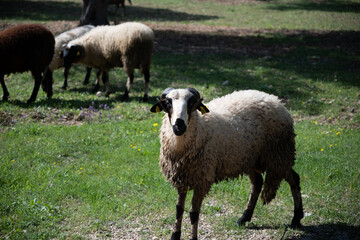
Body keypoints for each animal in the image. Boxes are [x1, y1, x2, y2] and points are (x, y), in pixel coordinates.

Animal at [150, 87, 306, 240]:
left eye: (191, 103)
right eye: (168, 103)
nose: (179, 125)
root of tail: (275, 99)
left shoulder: (202, 179)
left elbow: (194, 213)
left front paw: (193, 237)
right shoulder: (181, 178)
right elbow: (179, 210)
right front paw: (175, 235)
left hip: (278, 154)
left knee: (294, 179)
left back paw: (296, 219)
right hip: (251, 158)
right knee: (257, 183)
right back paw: (244, 218)